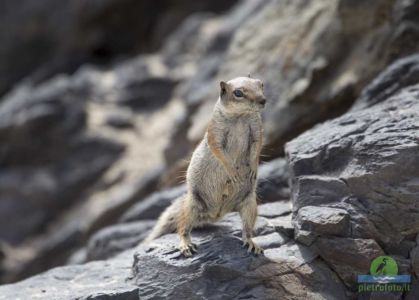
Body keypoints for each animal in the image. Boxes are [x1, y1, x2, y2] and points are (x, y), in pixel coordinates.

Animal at [144, 76, 266, 256]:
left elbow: (257, 147)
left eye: (261, 84)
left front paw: (253, 168)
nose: (263, 100)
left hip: (250, 204)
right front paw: (232, 171)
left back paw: (251, 243)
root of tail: (215, 213)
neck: (240, 116)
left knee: (247, 229)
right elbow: (218, 150)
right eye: (238, 93)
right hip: (192, 206)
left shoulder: (257, 130)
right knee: (182, 227)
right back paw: (186, 244)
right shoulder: (215, 132)